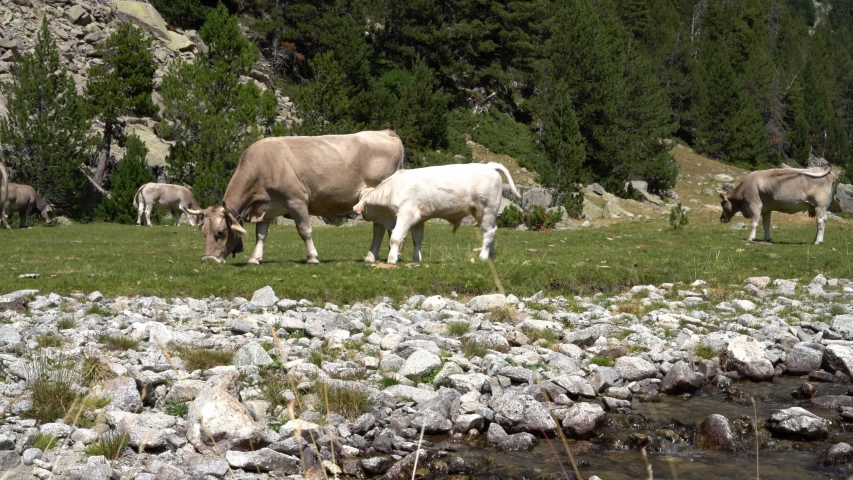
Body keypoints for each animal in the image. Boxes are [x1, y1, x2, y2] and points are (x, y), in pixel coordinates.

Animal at [352, 163, 520, 264]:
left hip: (487, 210)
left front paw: (392, 259)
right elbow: (417, 239)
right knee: (492, 231)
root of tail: (488, 165)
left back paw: (483, 256)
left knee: (488, 232)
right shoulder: (418, 219)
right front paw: (417, 259)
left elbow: (396, 237)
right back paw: (492, 255)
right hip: (482, 213)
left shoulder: (406, 214)